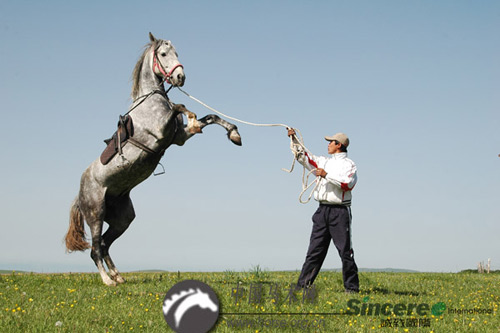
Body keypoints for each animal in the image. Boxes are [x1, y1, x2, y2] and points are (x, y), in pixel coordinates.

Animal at [65, 32, 242, 284]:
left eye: (177, 52)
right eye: (164, 54)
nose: (180, 77)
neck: (151, 99)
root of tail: (79, 195)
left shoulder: (179, 138)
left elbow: (211, 117)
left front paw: (234, 134)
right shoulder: (161, 131)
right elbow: (181, 106)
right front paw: (193, 117)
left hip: (122, 218)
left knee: (106, 244)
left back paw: (118, 277)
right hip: (95, 214)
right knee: (95, 249)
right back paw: (108, 280)